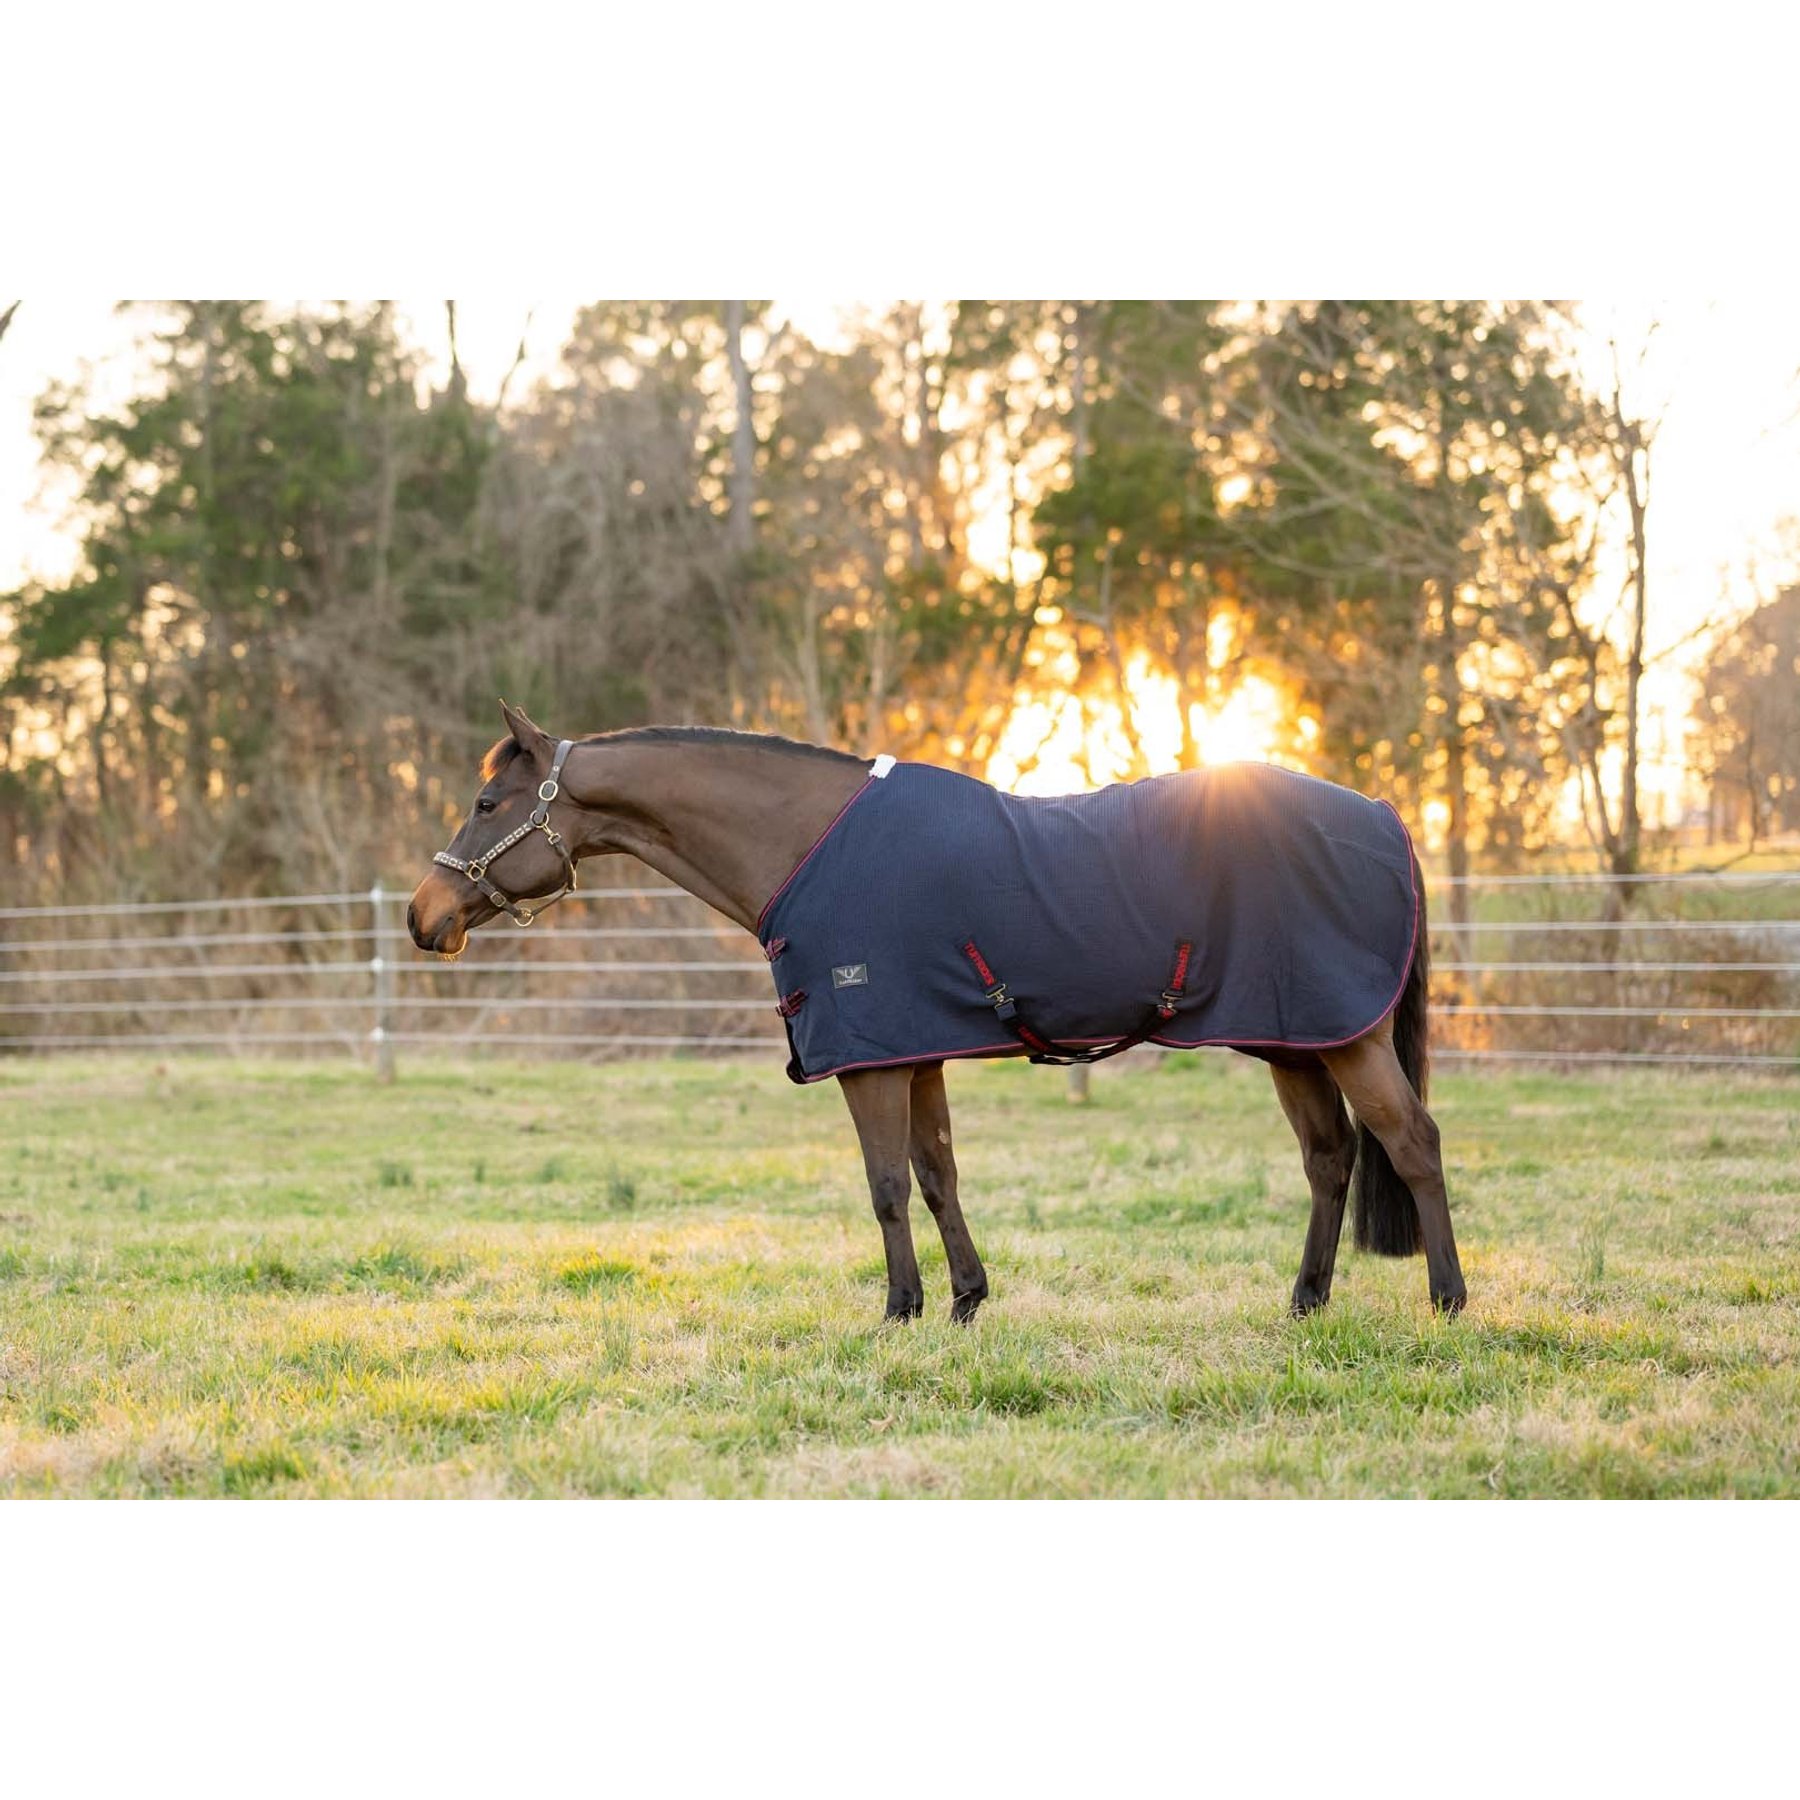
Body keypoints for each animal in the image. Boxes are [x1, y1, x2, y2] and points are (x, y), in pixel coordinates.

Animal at [407, 702, 1467, 1324]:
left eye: (488, 801)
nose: (425, 917)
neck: (810, 844)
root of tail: (1384, 814)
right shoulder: (916, 1050)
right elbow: (936, 1177)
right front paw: (965, 1301)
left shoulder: (871, 1057)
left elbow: (884, 1186)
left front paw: (899, 1311)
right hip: (1296, 1040)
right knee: (1330, 1161)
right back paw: (1304, 1303)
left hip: (1351, 1038)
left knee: (1412, 1143)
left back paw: (1448, 1300)